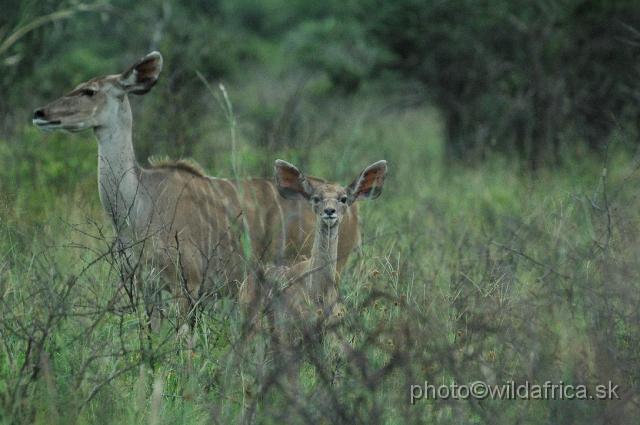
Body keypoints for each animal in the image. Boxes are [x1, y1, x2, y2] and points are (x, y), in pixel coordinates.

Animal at [33, 50, 360, 328]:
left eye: (90, 91)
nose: (40, 112)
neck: (139, 202)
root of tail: (352, 205)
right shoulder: (144, 283)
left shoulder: (187, 282)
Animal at [240, 158, 388, 380]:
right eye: (316, 198)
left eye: (344, 199)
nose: (329, 211)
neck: (317, 292)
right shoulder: (290, 330)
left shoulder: (327, 332)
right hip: (253, 326)